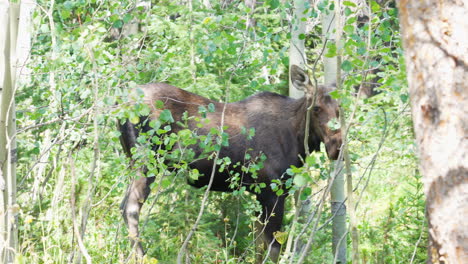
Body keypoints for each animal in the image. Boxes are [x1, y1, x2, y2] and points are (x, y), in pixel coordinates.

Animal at [119, 65, 342, 260]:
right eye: (316, 107)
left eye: (340, 108)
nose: (336, 146)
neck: (296, 138)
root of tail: (120, 105)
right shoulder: (272, 191)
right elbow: (273, 248)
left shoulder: (259, 193)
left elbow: (259, 246)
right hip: (145, 160)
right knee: (131, 207)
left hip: (133, 160)